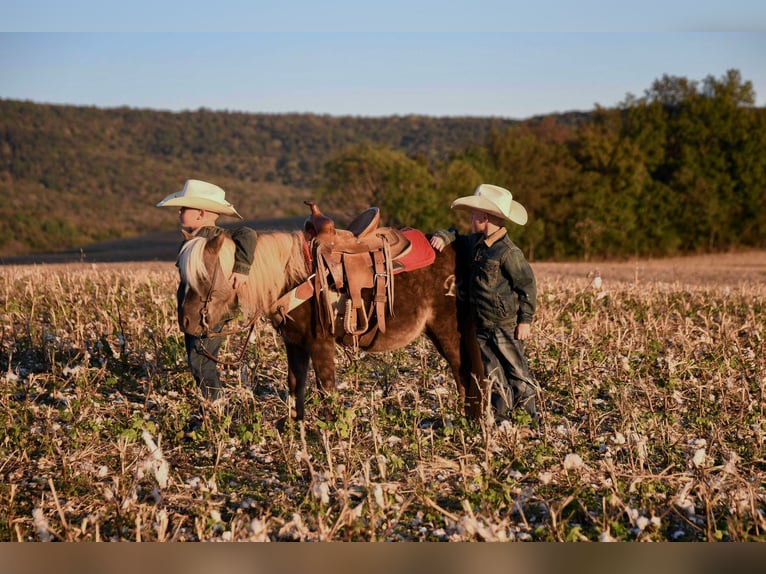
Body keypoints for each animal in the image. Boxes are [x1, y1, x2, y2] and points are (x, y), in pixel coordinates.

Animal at [176, 227, 484, 421]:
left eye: (203, 276)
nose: (186, 322)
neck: (292, 276)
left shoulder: (319, 343)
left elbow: (326, 388)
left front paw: (332, 430)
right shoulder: (294, 343)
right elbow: (295, 384)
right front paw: (295, 427)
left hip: (448, 330)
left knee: (462, 370)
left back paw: (468, 421)